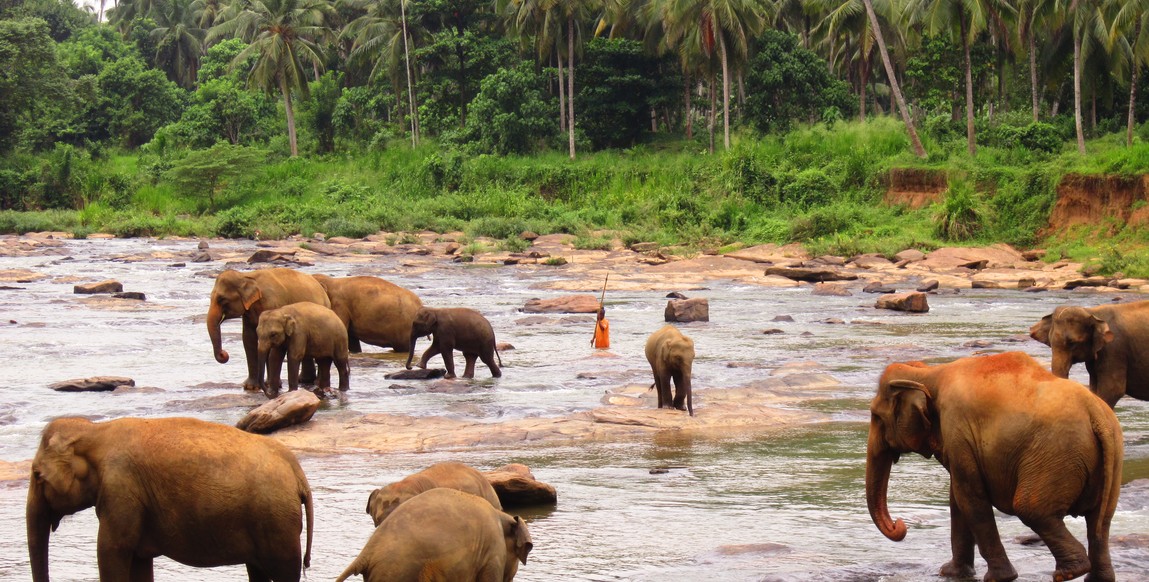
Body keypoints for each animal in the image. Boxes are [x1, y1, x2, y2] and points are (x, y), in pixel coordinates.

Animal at [27, 417, 314, 580]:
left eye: (37, 475)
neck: (95, 431)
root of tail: (298, 473)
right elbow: (139, 562)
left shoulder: (121, 491)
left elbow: (111, 551)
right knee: (257, 571)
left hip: (277, 523)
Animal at [864, 351, 1121, 582]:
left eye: (876, 416)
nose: (899, 524)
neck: (929, 373)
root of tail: (1095, 412)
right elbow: (958, 499)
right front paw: (950, 573)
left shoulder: (957, 428)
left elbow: (969, 497)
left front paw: (998, 578)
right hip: (1108, 458)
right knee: (1100, 521)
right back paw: (1096, 577)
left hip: (1055, 456)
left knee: (1030, 508)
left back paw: (1068, 572)